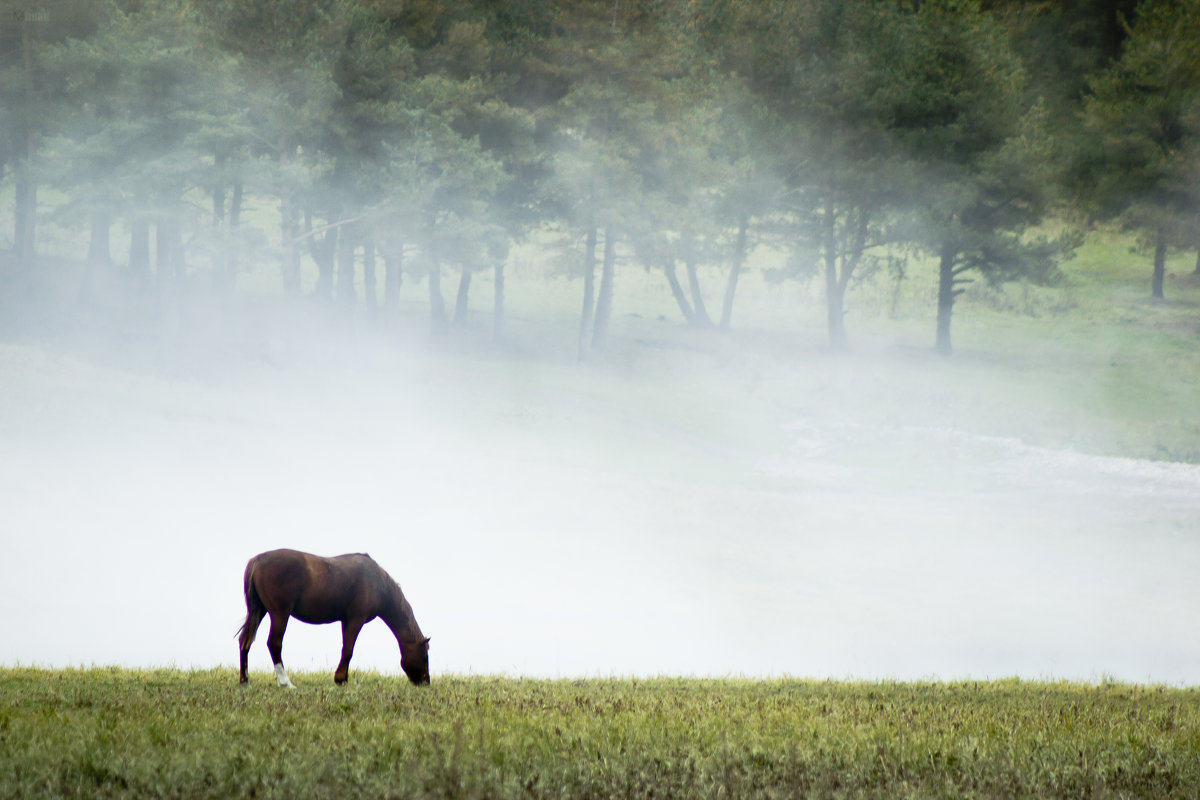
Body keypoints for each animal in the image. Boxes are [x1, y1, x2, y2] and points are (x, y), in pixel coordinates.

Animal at [236, 551, 429, 690]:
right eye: (425, 655)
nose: (426, 682)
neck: (378, 582)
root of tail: (258, 560)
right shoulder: (355, 619)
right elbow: (348, 650)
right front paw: (341, 679)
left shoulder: (346, 621)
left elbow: (346, 648)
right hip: (279, 614)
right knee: (274, 643)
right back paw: (285, 683)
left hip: (259, 611)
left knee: (245, 641)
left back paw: (245, 681)